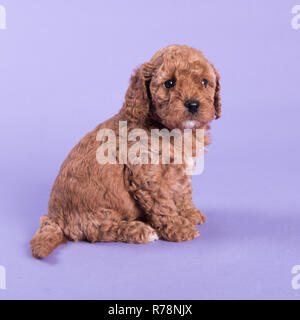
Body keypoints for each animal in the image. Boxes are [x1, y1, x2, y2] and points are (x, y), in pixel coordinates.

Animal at [30, 44, 221, 258]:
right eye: (169, 83)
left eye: (204, 82)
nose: (193, 104)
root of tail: (54, 216)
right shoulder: (148, 176)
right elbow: (163, 205)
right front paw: (180, 228)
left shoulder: (180, 171)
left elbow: (183, 191)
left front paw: (189, 213)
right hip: (96, 213)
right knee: (98, 230)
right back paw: (139, 230)